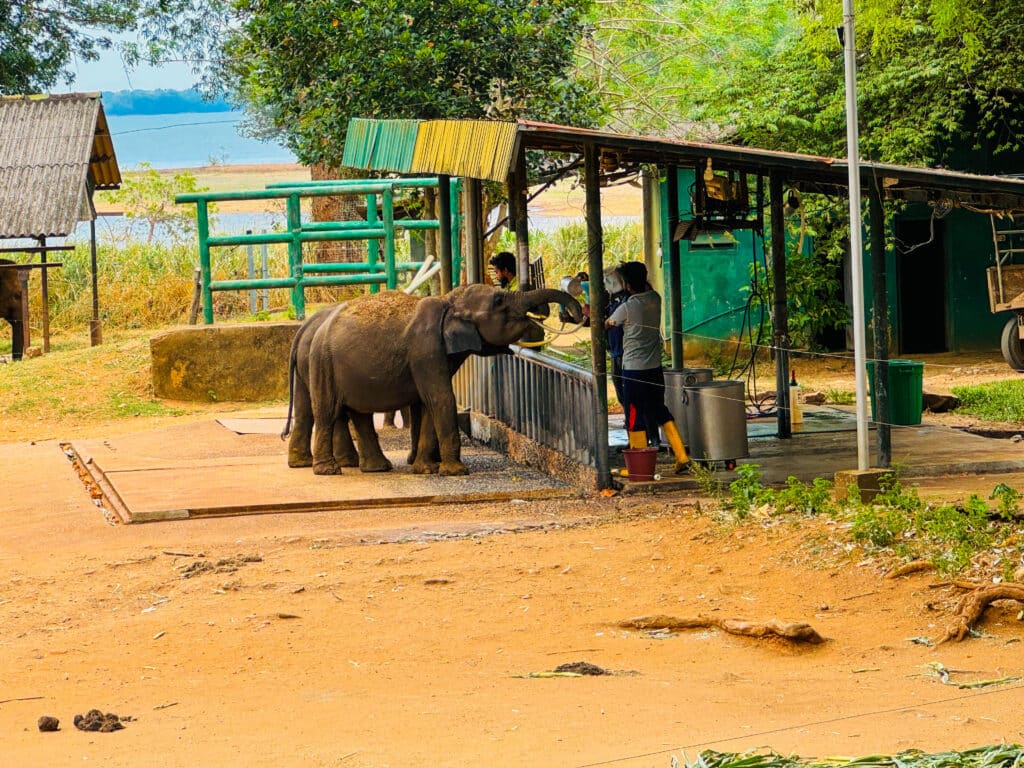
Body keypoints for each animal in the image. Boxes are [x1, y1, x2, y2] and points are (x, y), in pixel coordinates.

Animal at [307, 283, 582, 476]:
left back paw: (378, 468)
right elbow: (441, 398)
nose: (574, 315)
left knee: (360, 414)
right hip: (323, 364)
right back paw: (328, 471)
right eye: (499, 300)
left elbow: (430, 404)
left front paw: (426, 470)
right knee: (327, 412)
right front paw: (457, 472)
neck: (449, 300)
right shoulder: (426, 349)